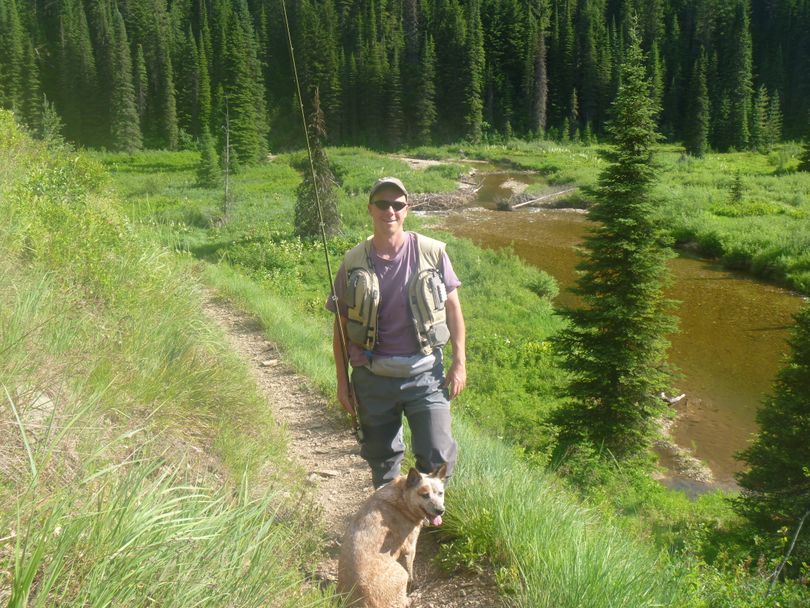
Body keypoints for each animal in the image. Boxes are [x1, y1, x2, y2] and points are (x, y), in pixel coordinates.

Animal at [336, 466, 446, 604]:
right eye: (425, 495)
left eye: (440, 493)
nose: (440, 510)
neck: (402, 498)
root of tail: (365, 601)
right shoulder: (409, 548)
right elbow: (411, 572)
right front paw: (414, 586)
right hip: (401, 573)